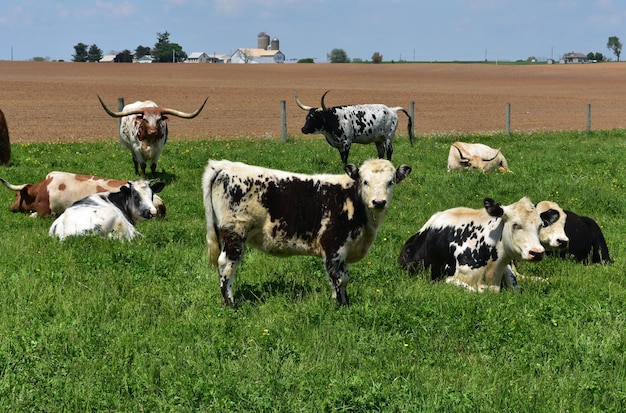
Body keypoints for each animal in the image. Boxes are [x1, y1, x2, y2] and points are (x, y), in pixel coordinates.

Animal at [202, 158, 412, 306]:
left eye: (390, 182)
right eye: (365, 181)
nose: (379, 202)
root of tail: (226, 165)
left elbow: (343, 277)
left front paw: (345, 302)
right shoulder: (333, 246)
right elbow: (339, 278)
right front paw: (340, 306)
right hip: (235, 233)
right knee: (227, 265)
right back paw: (231, 303)